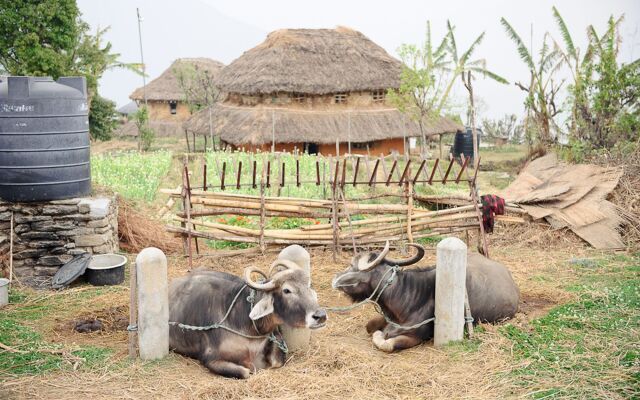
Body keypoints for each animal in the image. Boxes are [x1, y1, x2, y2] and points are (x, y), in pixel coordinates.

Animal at [168, 260, 328, 376]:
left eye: (308, 286)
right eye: (287, 290)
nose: (320, 316)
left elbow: (277, 362)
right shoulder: (210, 359)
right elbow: (245, 372)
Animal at [332, 239, 516, 352]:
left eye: (353, 266)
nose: (334, 279)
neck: (408, 299)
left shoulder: (415, 337)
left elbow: (386, 343)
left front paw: (382, 335)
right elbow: (369, 326)